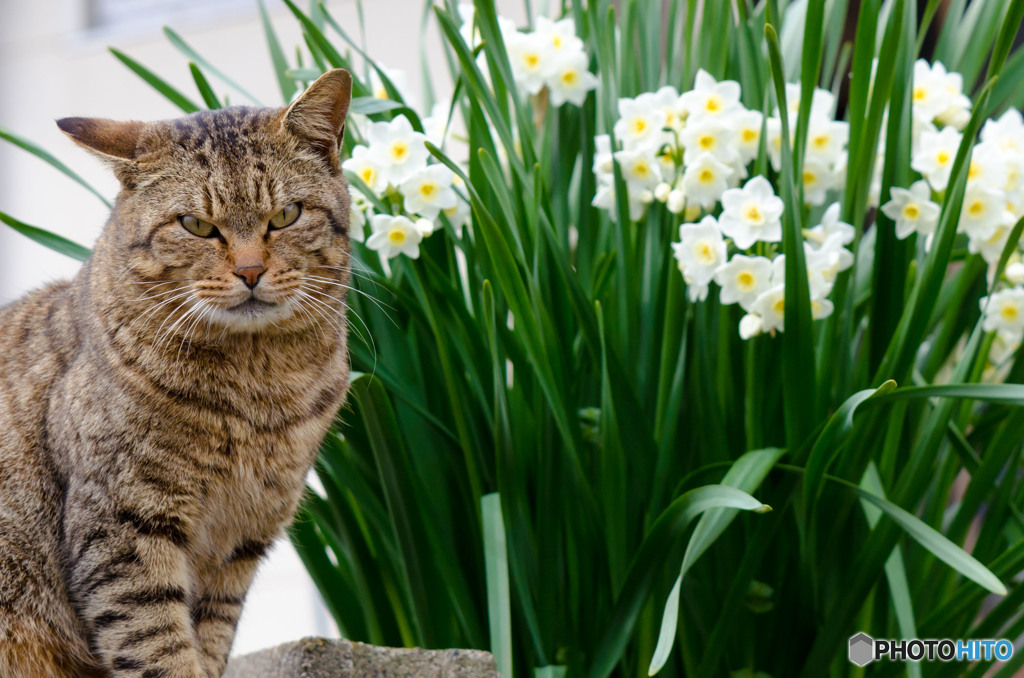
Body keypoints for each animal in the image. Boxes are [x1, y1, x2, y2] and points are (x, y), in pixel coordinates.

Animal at [1, 66, 352, 675]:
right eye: (195, 225)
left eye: (286, 215)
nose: (251, 271)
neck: (260, 386)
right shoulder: (121, 526)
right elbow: (158, 648)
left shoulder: (241, 541)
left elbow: (206, 641)